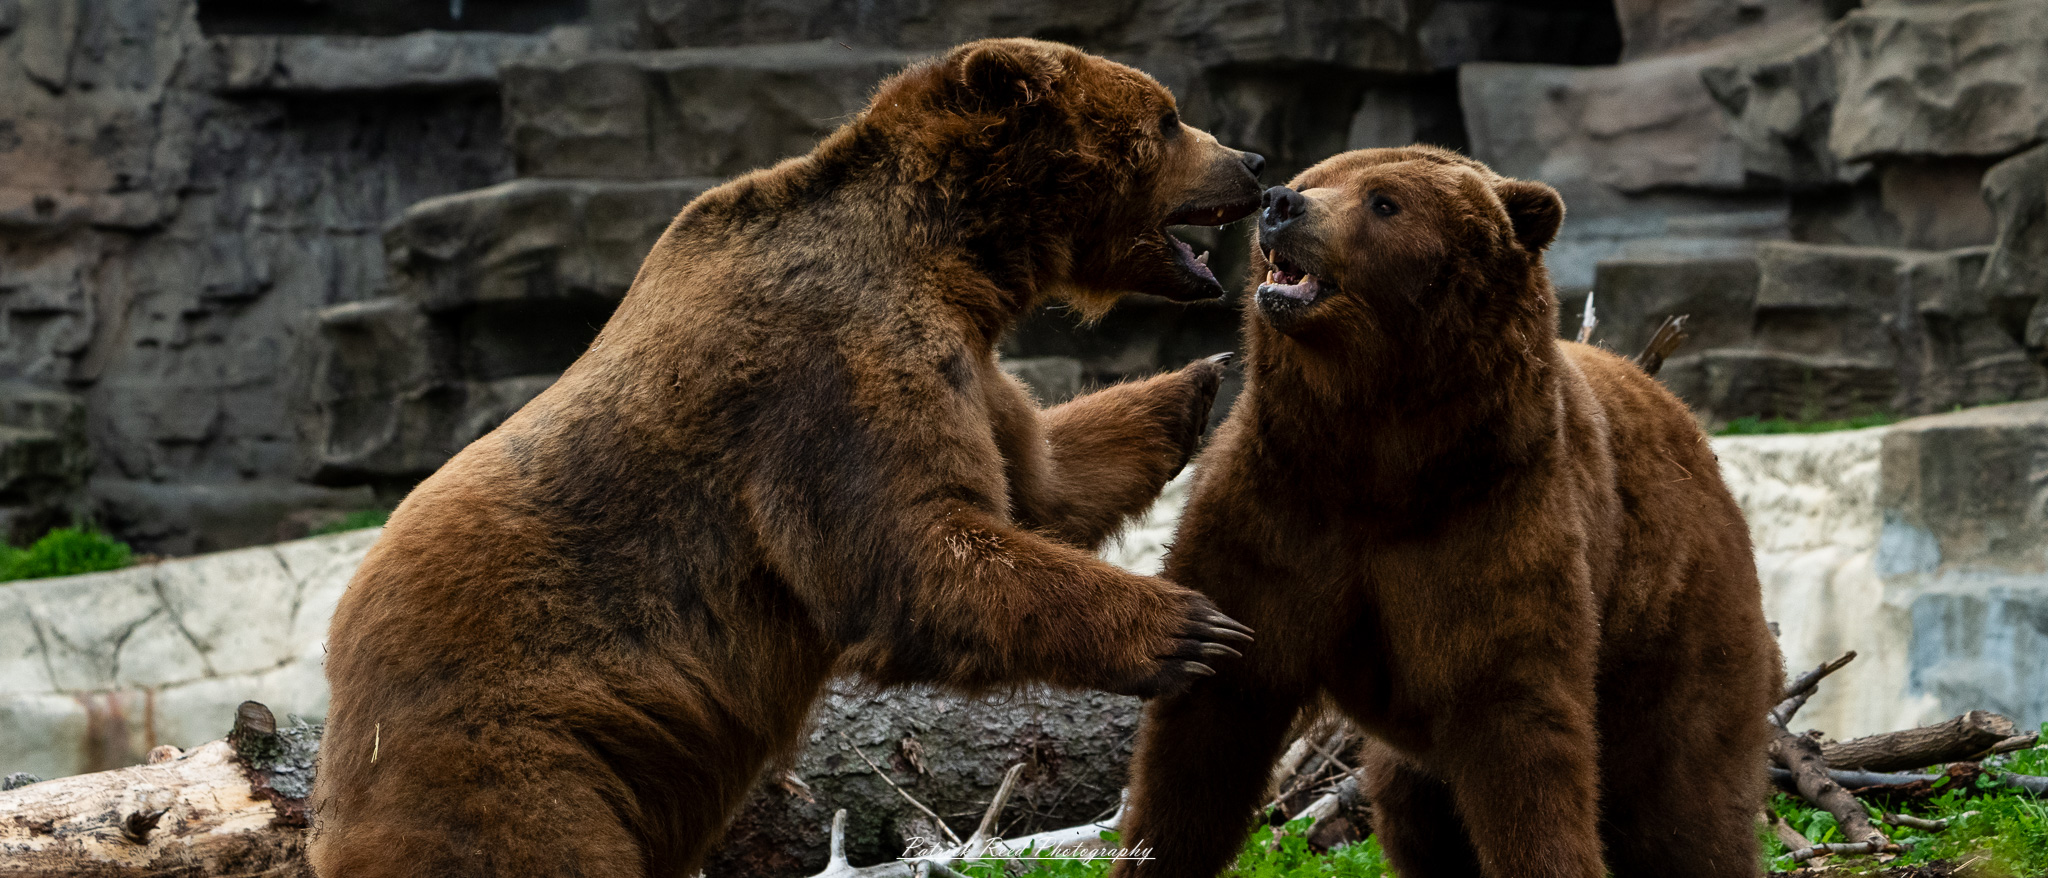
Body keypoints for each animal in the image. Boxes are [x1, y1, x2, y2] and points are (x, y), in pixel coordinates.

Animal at [309, 39, 1266, 878]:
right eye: (1168, 118)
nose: (1253, 163)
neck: (953, 257)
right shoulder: (832, 374)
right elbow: (906, 549)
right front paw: (1191, 626)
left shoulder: (965, 366)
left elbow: (1039, 487)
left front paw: (1204, 378)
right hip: (516, 739)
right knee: (526, 842)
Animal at [1111, 146, 1781, 878]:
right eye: (1318, 178)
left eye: (1383, 201)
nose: (1280, 203)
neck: (1379, 453)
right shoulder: (1278, 507)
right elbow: (1210, 723)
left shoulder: (1487, 515)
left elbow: (1518, 725)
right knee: (1414, 808)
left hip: (1675, 620)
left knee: (1685, 801)